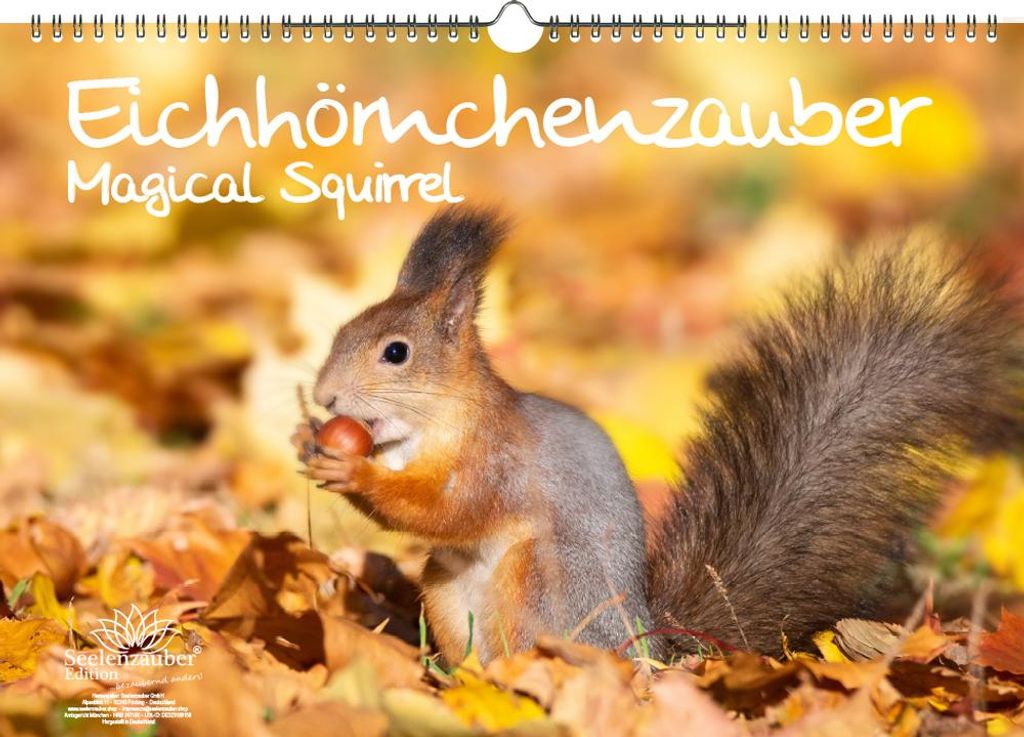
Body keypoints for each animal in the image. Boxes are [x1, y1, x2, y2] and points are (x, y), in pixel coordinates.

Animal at [294, 206, 1024, 665]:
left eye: (396, 352)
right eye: (342, 329)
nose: (326, 395)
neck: (429, 426)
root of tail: (647, 647)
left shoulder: (496, 459)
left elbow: (448, 508)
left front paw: (349, 471)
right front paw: (310, 441)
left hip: (537, 580)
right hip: (446, 588)